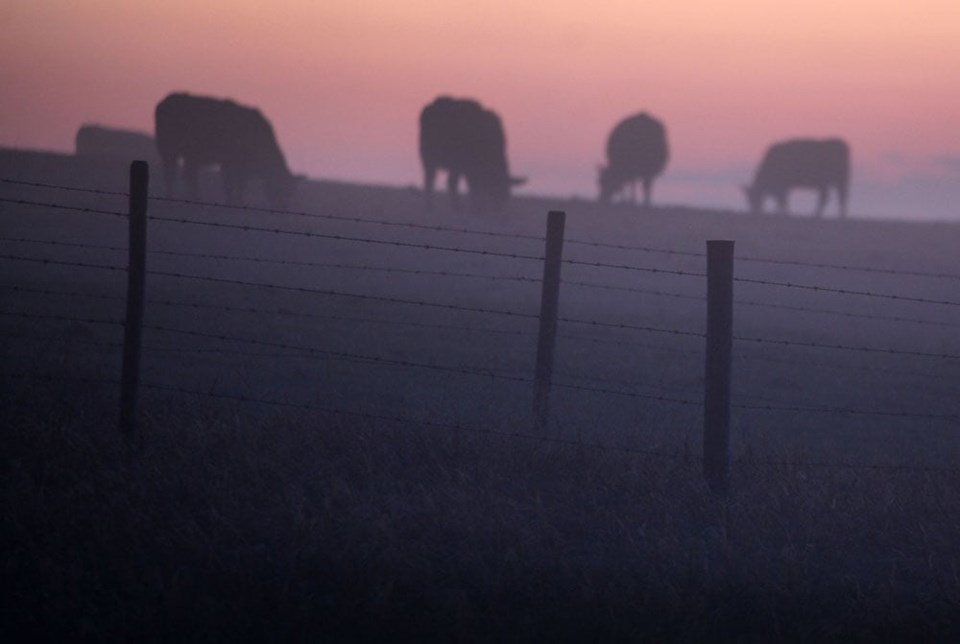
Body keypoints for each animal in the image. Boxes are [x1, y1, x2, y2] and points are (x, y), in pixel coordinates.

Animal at [155, 93, 296, 208]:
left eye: (290, 190)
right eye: (283, 187)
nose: (283, 206)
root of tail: (164, 101)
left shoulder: (234, 165)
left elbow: (235, 184)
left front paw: (234, 201)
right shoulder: (233, 163)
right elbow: (232, 184)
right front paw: (234, 202)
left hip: (187, 156)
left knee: (186, 175)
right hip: (168, 149)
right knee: (173, 174)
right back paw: (175, 198)